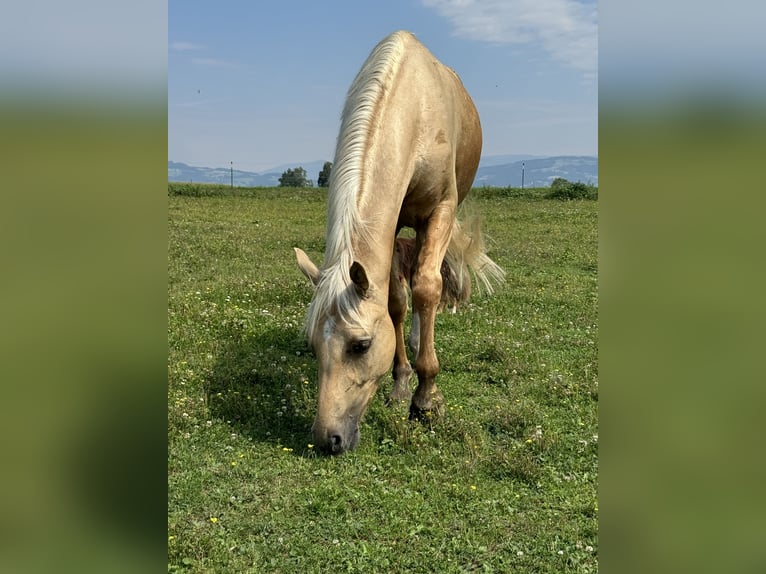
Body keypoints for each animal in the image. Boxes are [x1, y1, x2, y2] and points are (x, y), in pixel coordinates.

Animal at [294, 31, 504, 456]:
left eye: (360, 345)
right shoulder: (389, 229)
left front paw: (426, 398)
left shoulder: (440, 211)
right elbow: (394, 301)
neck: (415, 113)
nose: (328, 439)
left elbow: (426, 287)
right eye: (312, 345)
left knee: (429, 284)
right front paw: (402, 381)